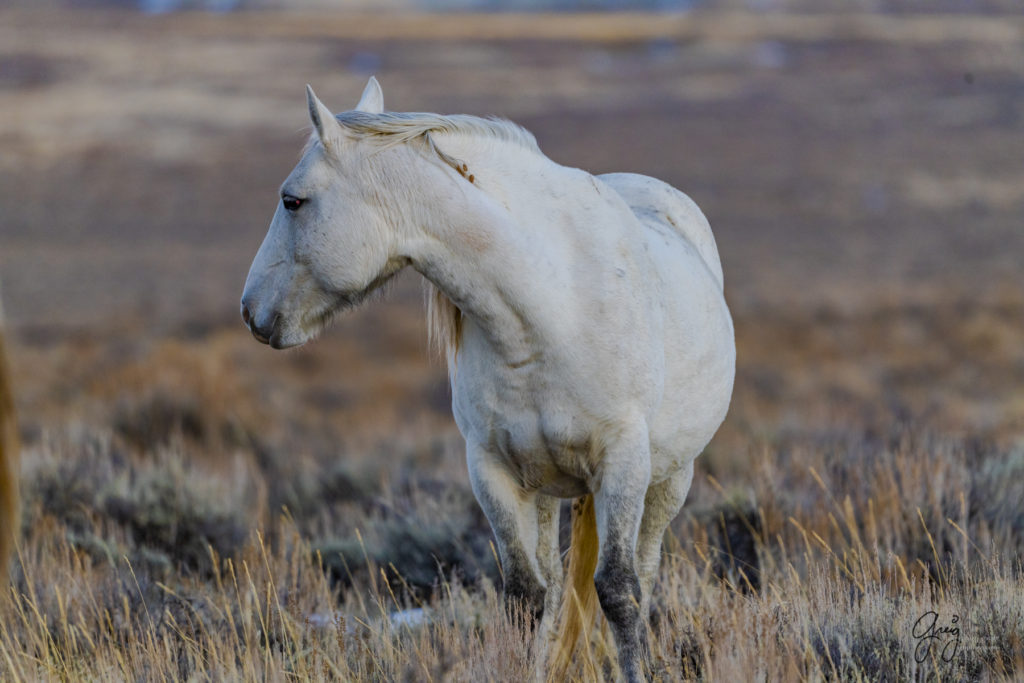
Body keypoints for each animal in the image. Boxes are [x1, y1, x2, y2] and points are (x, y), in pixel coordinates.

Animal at [239, 77, 737, 679]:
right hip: (547, 488)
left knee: (642, 573)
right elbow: (526, 597)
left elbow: (620, 592)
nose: (251, 311)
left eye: (293, 200)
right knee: (554, 586)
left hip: (668, 480)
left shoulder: (623, 462)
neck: (548, 307)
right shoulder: (493, 470)